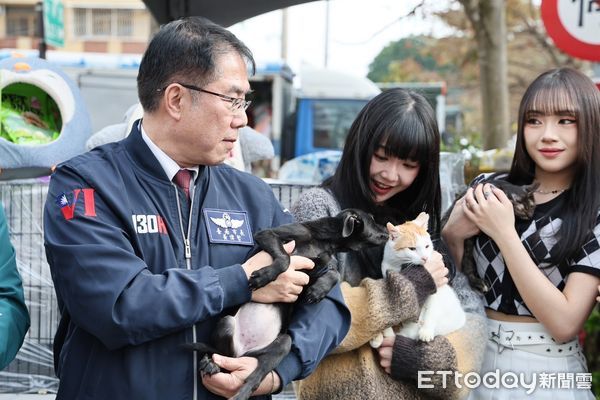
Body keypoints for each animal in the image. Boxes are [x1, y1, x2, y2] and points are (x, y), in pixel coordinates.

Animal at [185, 209, 386, 400]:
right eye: (372, 220)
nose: (387, 231)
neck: (323, 242)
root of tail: (243, 352)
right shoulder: (269, 235)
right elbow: (285, 259)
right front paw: (264, 276)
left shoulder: (310, 276)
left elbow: (334, 273)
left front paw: (318, 291)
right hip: (227, 324)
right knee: (224, 356)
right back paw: (212, 363)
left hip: (282, 344)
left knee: (254, 375)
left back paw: (238, 389)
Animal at [368, 212, 466, 346]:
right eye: (412, 248)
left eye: (427, 246)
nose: (425, 258)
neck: (402, 265)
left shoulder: (436, 292)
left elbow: (431, 312)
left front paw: (426, 331)